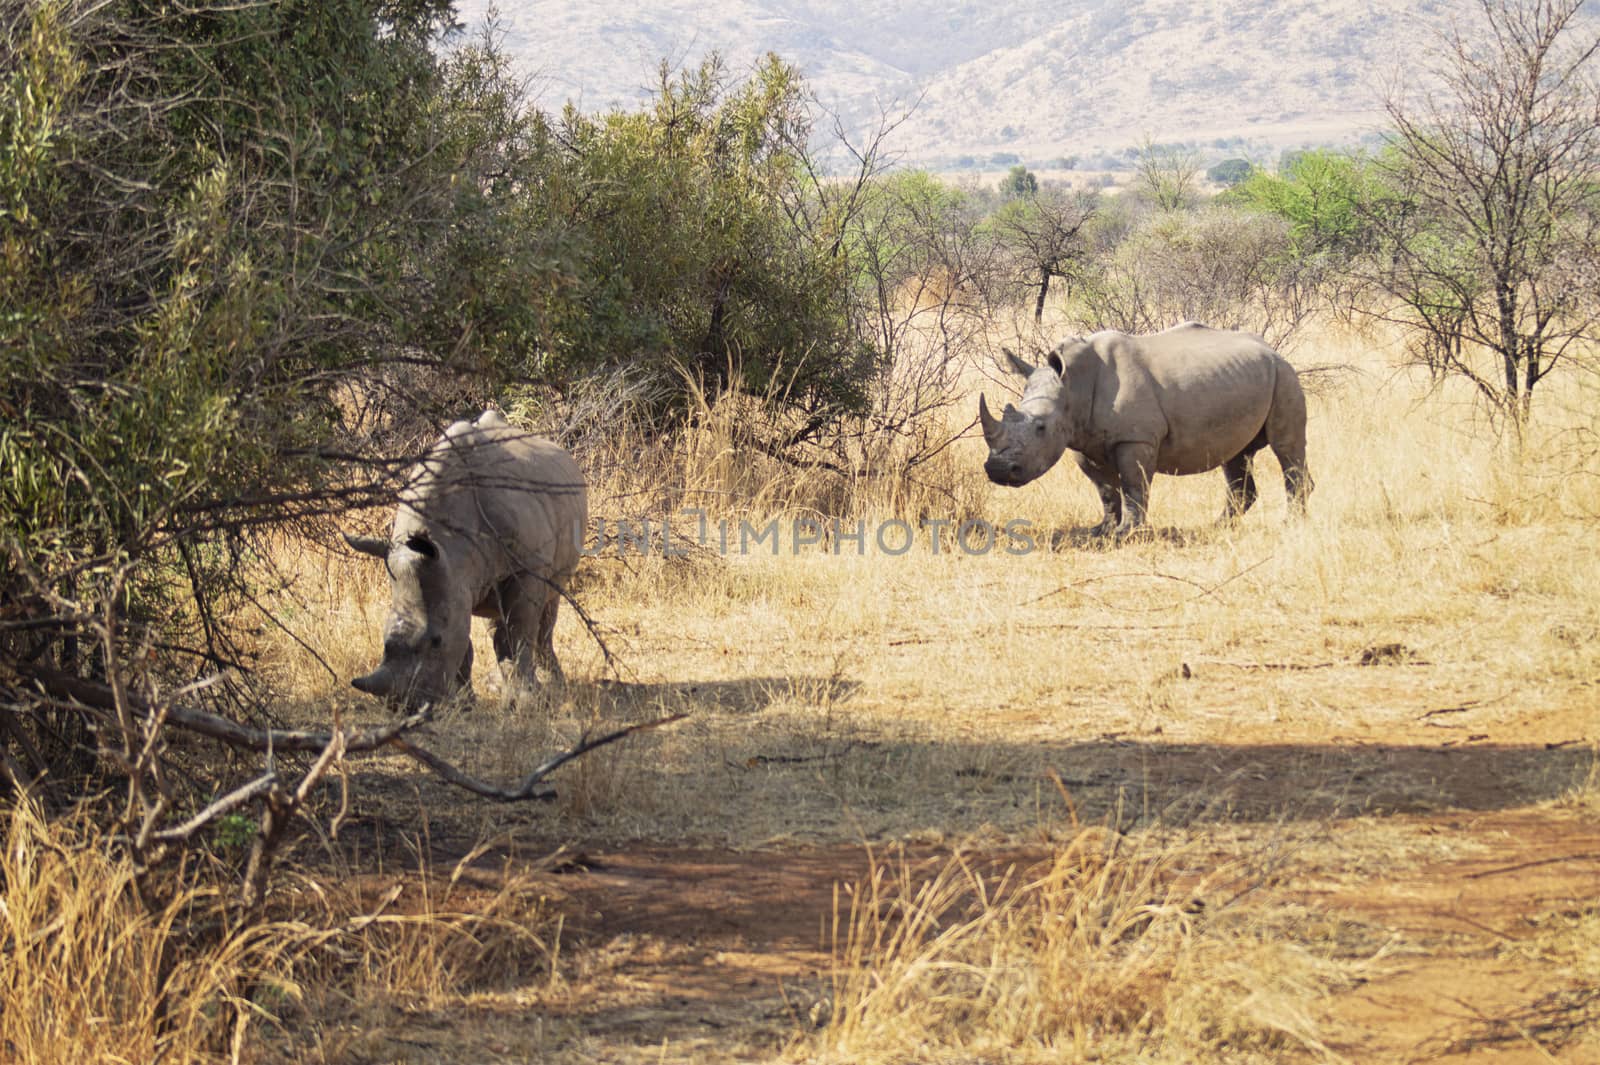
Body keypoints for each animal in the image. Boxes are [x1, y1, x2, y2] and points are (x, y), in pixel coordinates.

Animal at [344, 409, 588, 710]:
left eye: (436, 641)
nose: (406, 707)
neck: (450, 543)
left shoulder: (526, 568)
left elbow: (519, 631)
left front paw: (526, 702)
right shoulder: (453, 578)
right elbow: (466, 642)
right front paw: (464, 703)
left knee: (547, 608)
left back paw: (554, 689)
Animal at [972, 321, 1312, 540]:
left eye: (1041, 427)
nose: (998, 469)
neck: (1073, 388)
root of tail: (1272, 350)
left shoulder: (1136, 439)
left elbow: (1134, 485)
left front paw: (1127, 534)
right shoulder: (1081, 441)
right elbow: (1105, 491)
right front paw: (1101, 531)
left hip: (1284, 375)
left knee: (1286, 448)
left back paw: (1290, 525)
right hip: (1249, 378)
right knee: (1236, 456)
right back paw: (1217, 527)